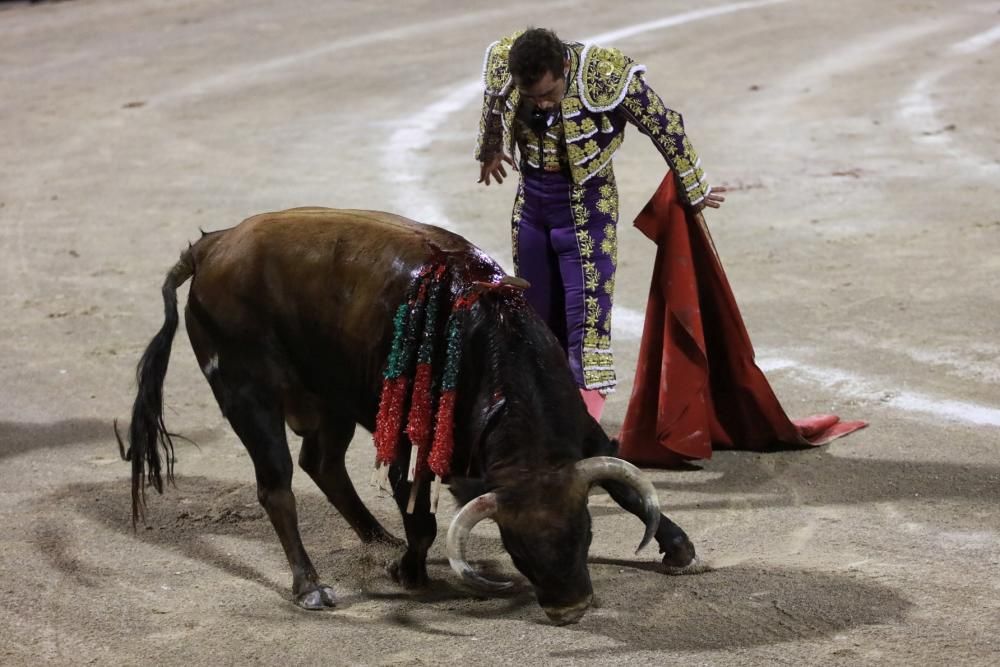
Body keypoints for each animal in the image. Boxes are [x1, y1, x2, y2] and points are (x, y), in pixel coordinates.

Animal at [119, 209, 696, 628]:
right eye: (515, 546)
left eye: (586, 535)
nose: (570, 609)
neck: (487, 335)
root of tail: (212, 245)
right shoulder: (410, 443)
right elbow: (421, 517)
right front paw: (410, 572)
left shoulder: (581, 431)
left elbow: (624, 487)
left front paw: (678, 547)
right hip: (248, 396)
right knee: (277, 486)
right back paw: (311, 586)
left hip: (330, 399)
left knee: (321, 463)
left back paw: (378, 539)